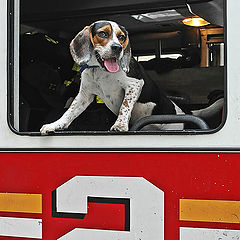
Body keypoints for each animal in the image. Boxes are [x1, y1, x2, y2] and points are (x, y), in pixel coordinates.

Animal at [40, 19, 185, 134]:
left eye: (121, 37)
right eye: (102, 34)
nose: (117, 48)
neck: (100, 70)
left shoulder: (135, 85)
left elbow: (125, 106)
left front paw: (119, 125)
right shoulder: (84, 95)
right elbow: (69, 112)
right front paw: (55, 125)